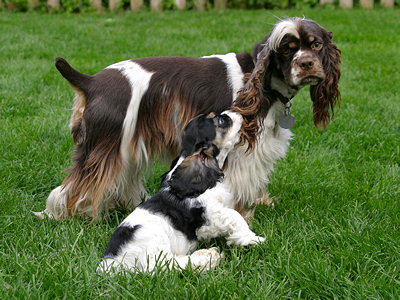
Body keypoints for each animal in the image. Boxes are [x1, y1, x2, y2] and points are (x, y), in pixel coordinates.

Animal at [35, 18, 340, 220]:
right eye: (287, 49)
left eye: (316, 44)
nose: (307, 64)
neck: (262, 81)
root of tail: (91, 82)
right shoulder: (239, 149)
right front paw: (244, 215)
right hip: (104, 144)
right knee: (74, 187)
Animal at [97, 110, 266, 274]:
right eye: (221, 120)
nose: (239, 113)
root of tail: (112, 264)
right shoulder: (210, 215)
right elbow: (235, 217)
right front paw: (252, 239)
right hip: (153, 247)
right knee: (168, 265)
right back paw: (206, 258)